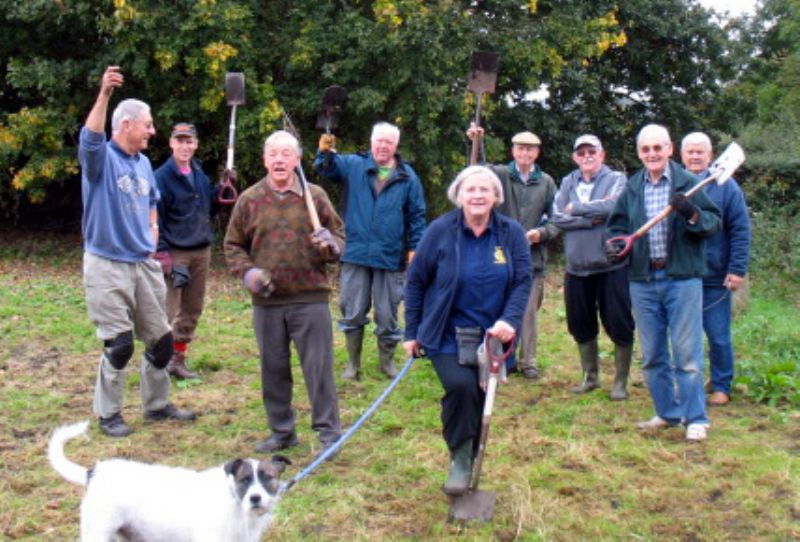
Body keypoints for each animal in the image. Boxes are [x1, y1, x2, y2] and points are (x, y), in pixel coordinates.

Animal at [48, 424, 290, 542]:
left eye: (268, 477)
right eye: (244, 479)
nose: (255, 498)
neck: (235, 503)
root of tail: (94, 472)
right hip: (97, 533)